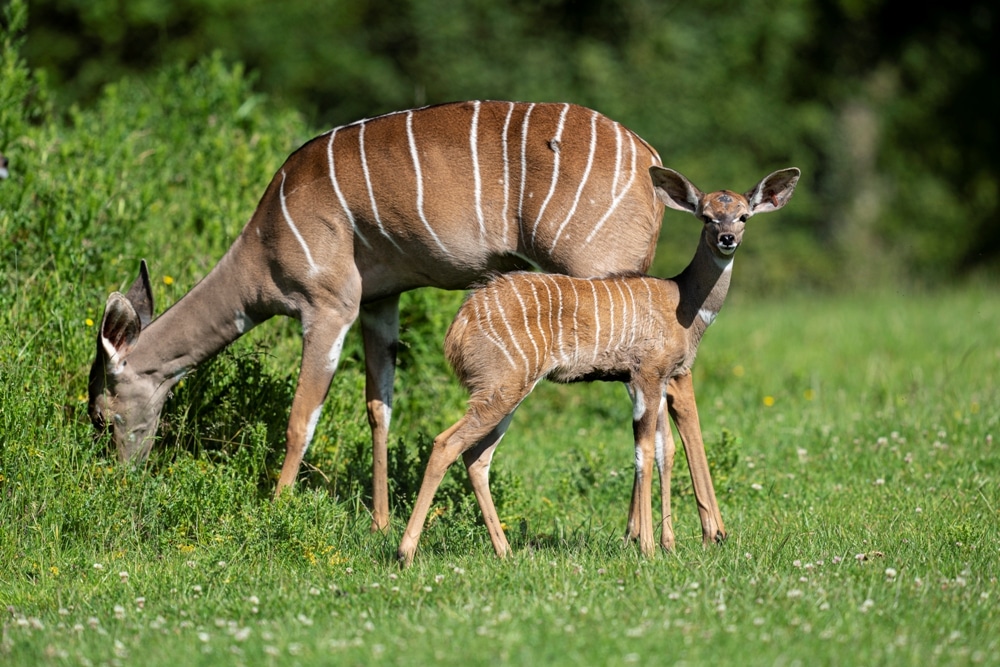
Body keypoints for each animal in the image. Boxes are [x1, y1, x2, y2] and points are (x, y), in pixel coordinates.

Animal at [90, 100, 668, 532]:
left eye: (99, 414)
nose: (119, 478)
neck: (264, 242)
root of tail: (650, 159)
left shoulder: (329, 306)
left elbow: (301, 418)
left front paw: (275, 511)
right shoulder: (378, 303)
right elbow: (378, 408)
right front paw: (380, 523)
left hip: (600, 276)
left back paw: (646, 538)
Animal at [394, 164, 800, 568]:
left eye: (743, 215)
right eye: (707, 216)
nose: (727, 238)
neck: (682, 304)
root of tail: (458, 328)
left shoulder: (656, 380)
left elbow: (662, 450)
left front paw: (666, 544)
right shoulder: (646, 375)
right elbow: (644, 454)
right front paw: (649, 547)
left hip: (504, 392)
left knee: (477, 456)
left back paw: (505, 551)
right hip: (502, 386)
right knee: (446, 444)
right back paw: (404, 552)